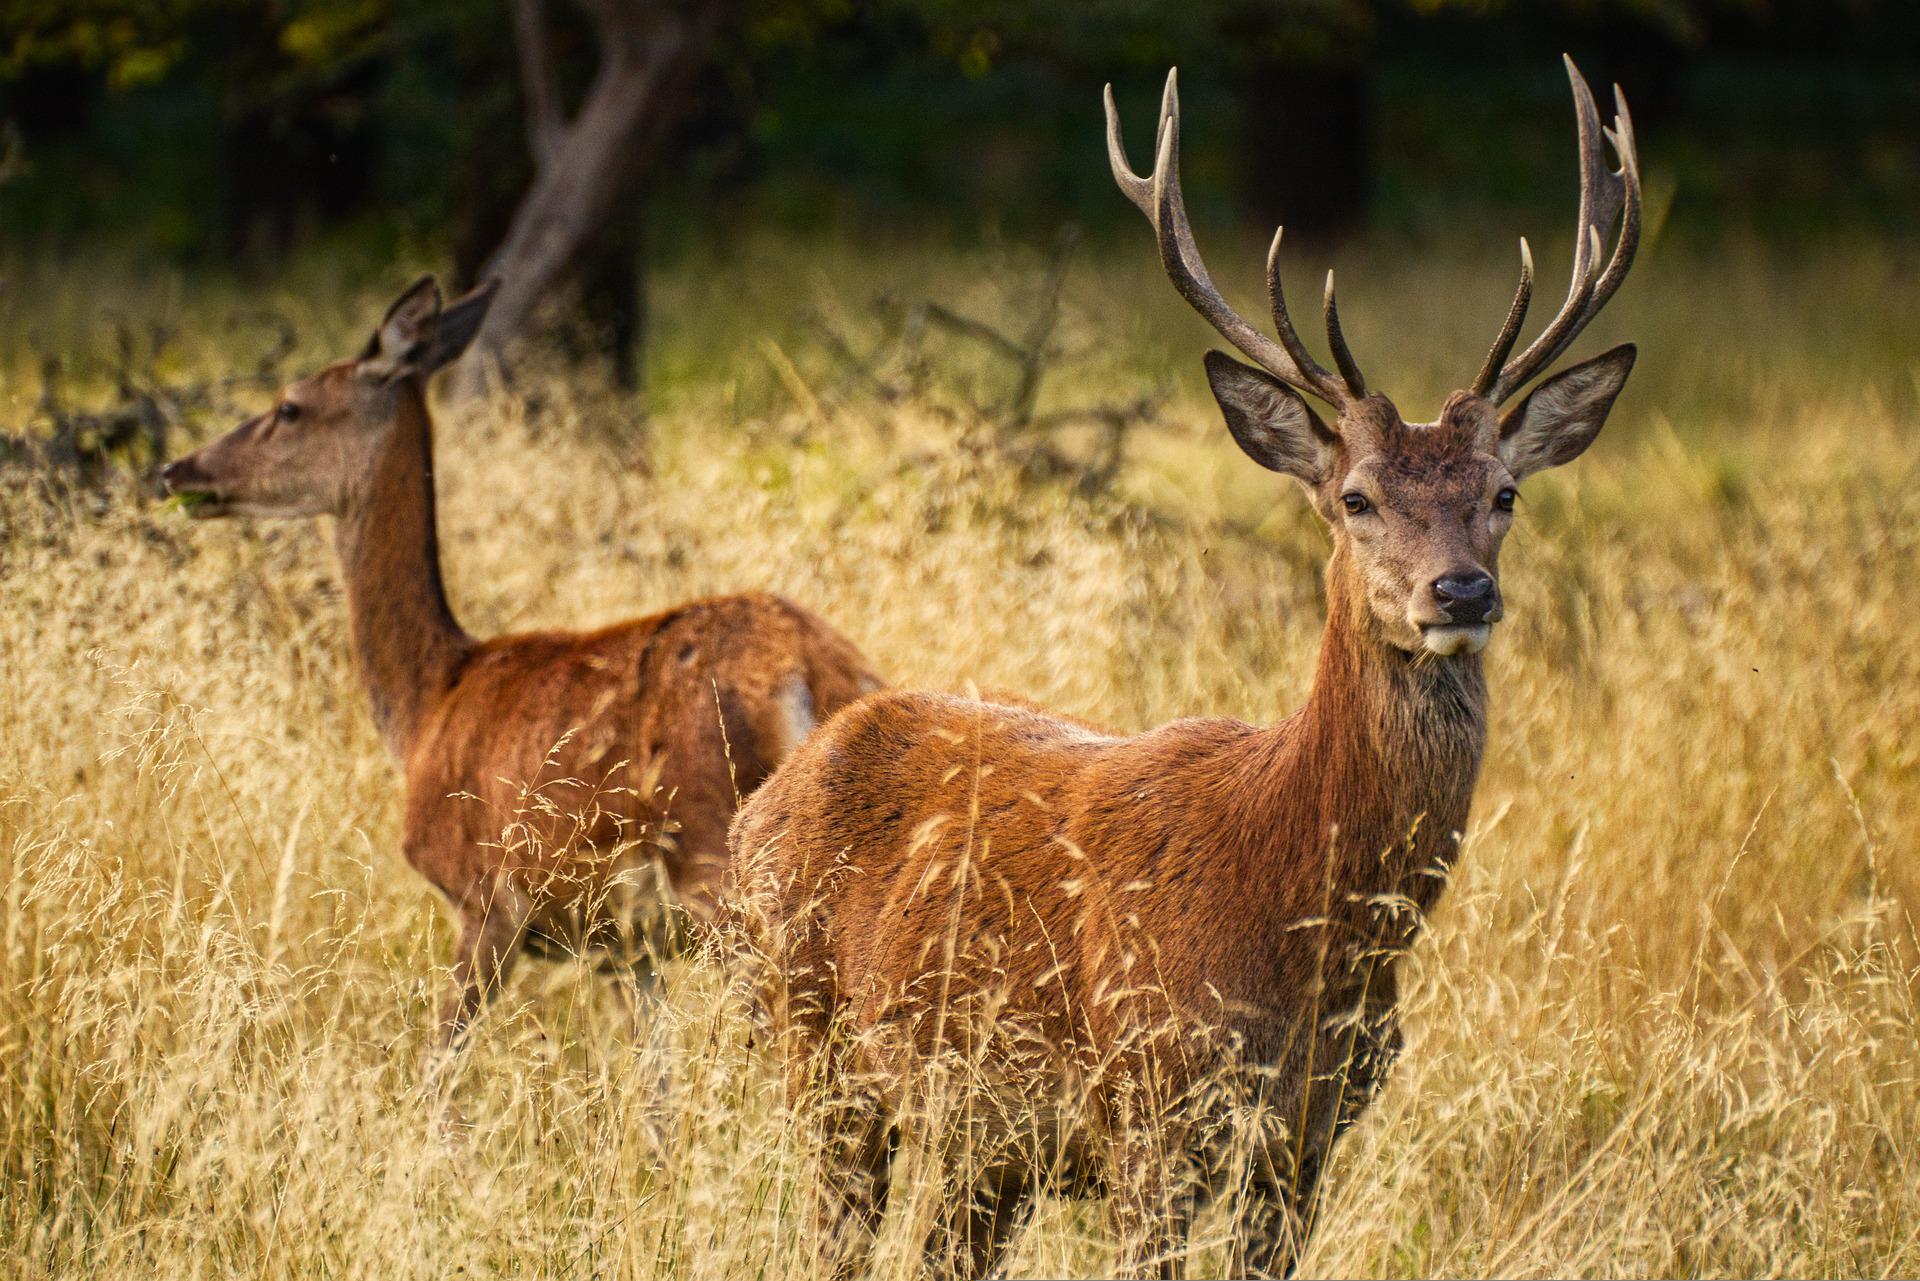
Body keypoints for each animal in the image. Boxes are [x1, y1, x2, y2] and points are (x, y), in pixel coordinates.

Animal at [725, 55, 1643, 1275]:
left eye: (1505, 494)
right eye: (1356, 498)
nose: (1460, 592)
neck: (1308, 929)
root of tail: (765, 801)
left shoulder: (1311, 1136)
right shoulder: (1149, 1108)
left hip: (978, 1143)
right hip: (815, 1049)